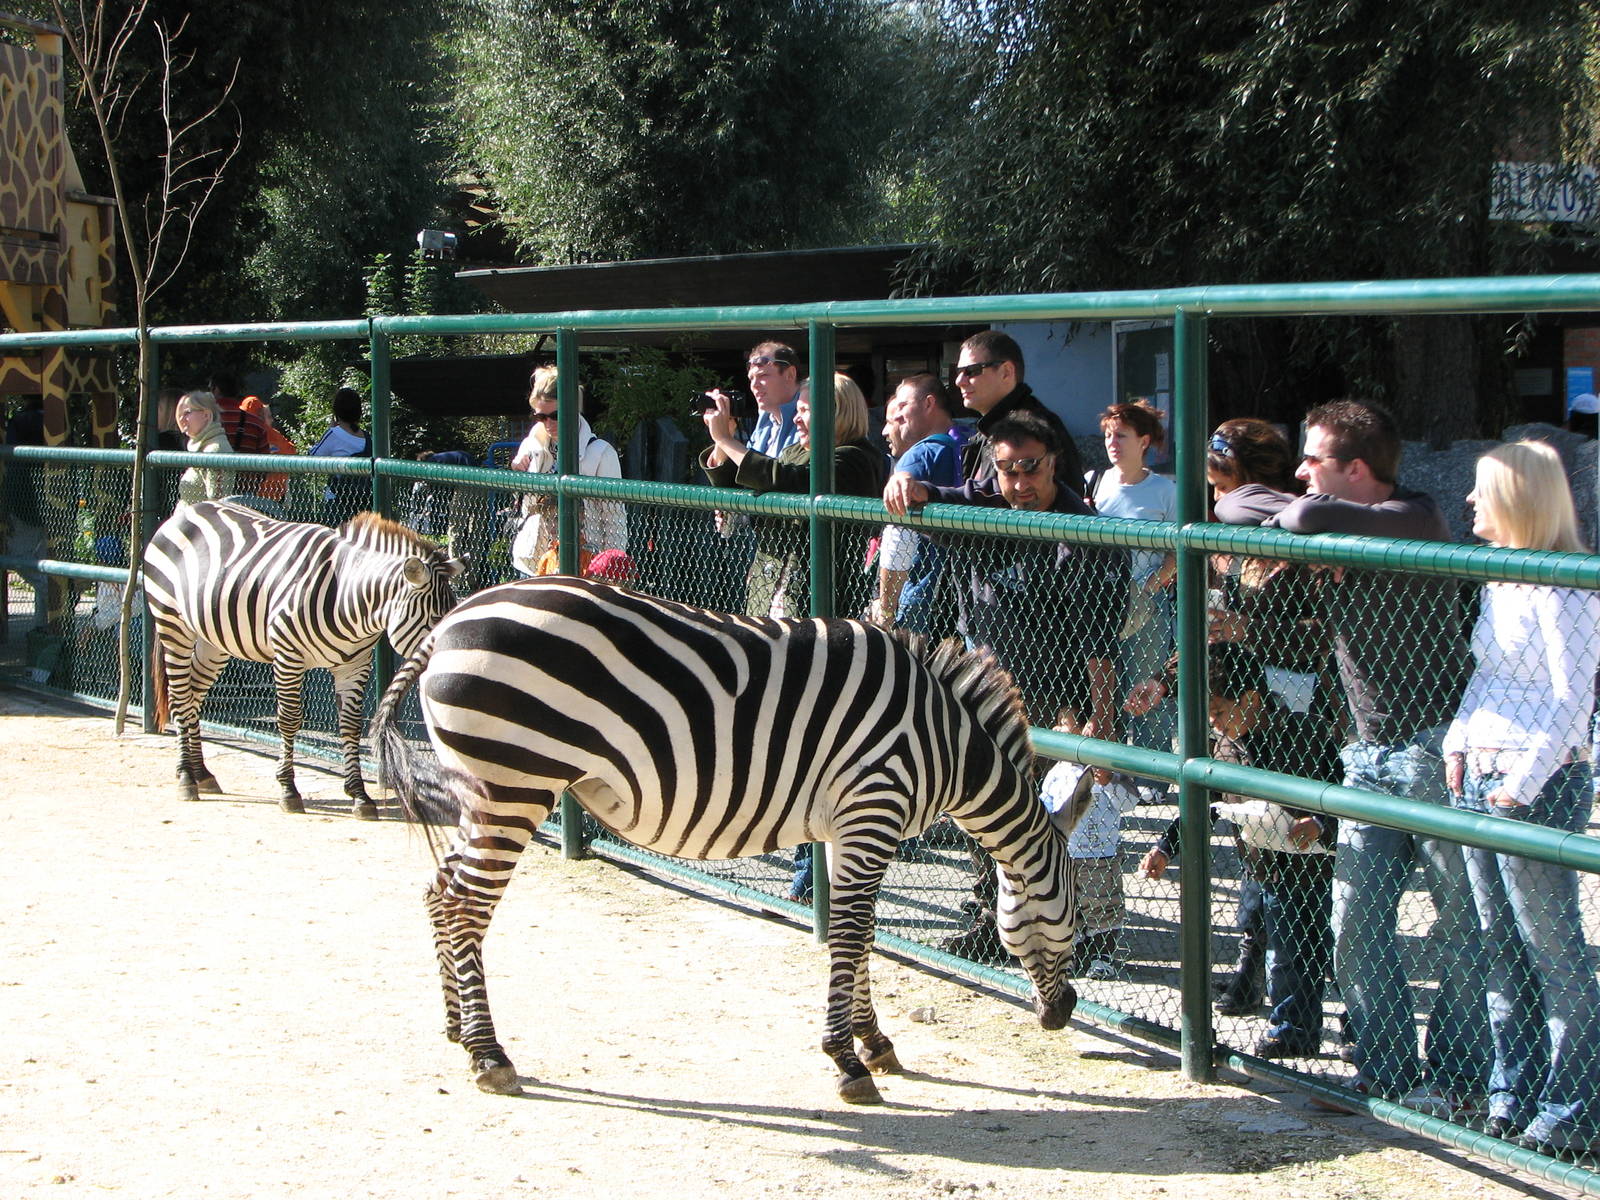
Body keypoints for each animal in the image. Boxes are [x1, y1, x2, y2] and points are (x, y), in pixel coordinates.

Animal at [143, 499, 462, 818]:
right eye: (435, 620)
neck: (348, 598)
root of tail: (188, 510)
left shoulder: (355, 664)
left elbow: (350, 724)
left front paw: (359, 795)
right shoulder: (288, 655)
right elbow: (289, 720)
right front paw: (288, 790)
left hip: (213, 642)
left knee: (194, 697)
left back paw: (202, 774)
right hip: (173, 625)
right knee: (181, 699)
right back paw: (186, 778)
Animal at [373, 575, 1094, 1103]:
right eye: (1076, 918)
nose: (1062, 1013)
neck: (945, 742)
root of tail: (446, 624)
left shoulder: (848, 827)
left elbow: (854, 933)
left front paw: (875, 1043)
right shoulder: (873, 809)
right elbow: (853, 933)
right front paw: (847, 1062)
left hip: (481, 791)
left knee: (439, 892)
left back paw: (455, 1031)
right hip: (513, 783)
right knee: (467, 906)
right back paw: (489, 1053)